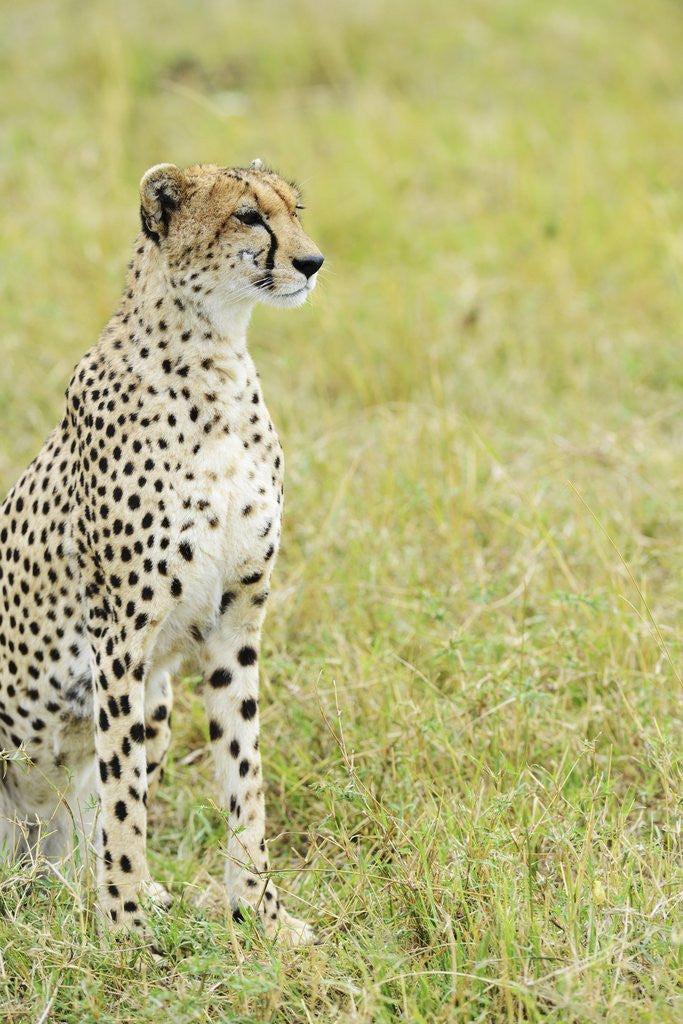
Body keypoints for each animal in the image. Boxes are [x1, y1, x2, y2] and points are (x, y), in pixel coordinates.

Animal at [0, 159, 324, 946]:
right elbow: (123, 799)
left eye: (294, 210)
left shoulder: (237, 619)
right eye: (248, 215)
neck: (214, 359)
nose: (312, 262)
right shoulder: (120, 634)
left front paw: (261, 916)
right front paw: (123, 928)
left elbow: (244, 776)